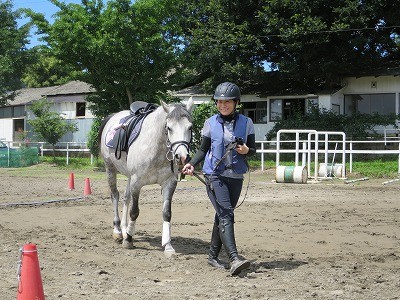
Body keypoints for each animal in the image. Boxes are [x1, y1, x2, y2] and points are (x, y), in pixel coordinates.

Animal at [99, 98, 194, 258]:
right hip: (110, 169)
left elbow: (166, 213)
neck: (156, 147)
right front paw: (128, 240)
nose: (182, 157)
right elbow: (134, 211)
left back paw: (124, 229)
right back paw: (118, 231)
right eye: (169, 128)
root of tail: (113, 117)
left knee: (126, 197)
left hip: (128, 176)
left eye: (190, 127)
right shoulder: (137, 183)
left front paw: (168, 246)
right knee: (115, 196)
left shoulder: (169, 183)